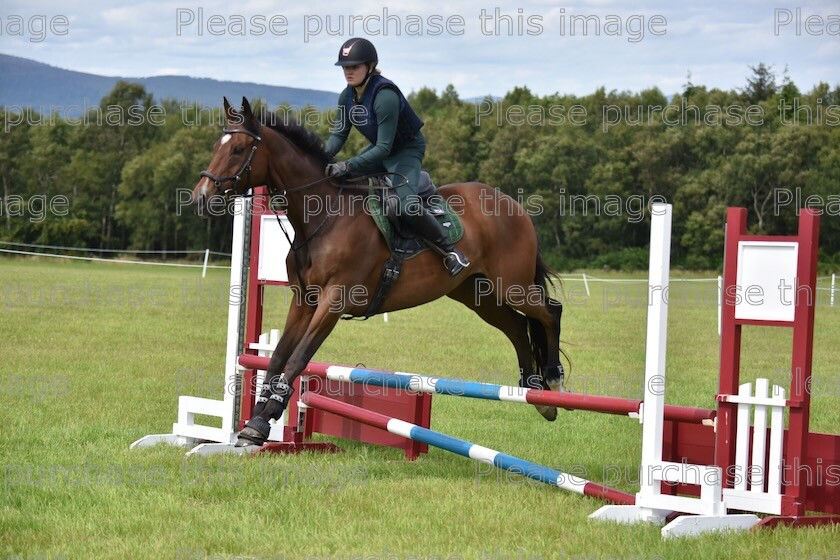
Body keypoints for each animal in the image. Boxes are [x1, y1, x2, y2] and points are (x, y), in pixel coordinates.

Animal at [194, 97, 568, 446]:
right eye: (215, 147)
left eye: (238, 149)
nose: (201, 197)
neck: (324, 216)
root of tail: (512, 204)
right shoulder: (303, 301)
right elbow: (277, 357)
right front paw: (256, 424)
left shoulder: (334, 300)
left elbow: (298, 357)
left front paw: (266, 416)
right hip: (477, 294)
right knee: (517, 327)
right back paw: (537, 394)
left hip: (511, 285)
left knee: (549, 311)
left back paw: (553, 379)